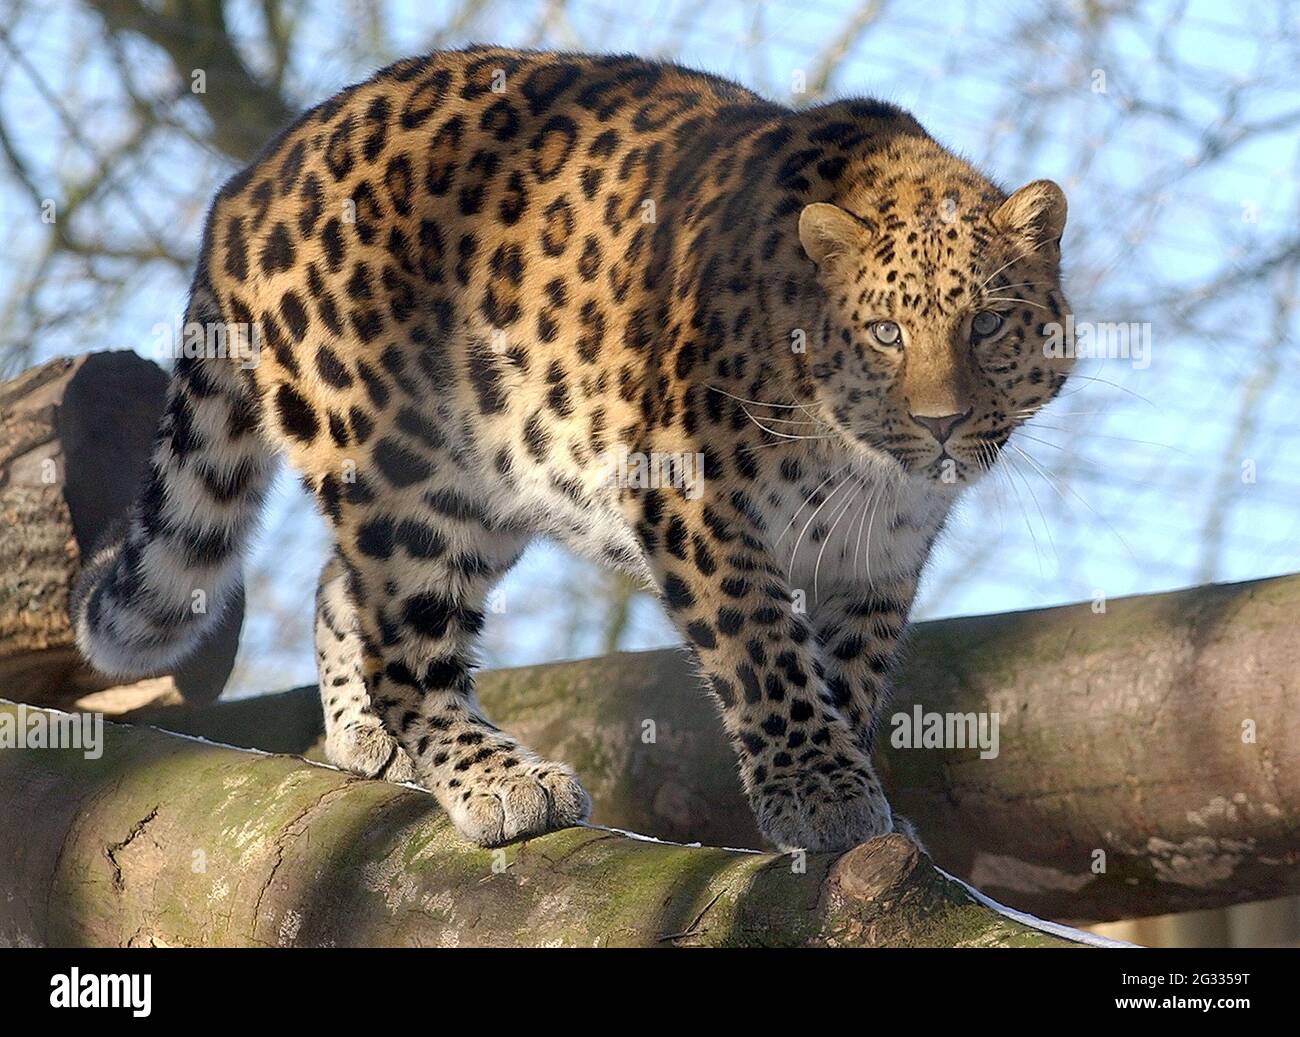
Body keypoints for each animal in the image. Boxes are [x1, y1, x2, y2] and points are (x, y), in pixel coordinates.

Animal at [68, 46, 1066, 852]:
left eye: (987, 324)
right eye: (886, 332)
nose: (940, 421)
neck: (866, 467)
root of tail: (250, 176)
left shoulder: (877, 560)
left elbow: (845, 673)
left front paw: (846, 789)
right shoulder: (689, 491)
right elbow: (763, 651)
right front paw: (819, 791)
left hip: (484, 477)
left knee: (337, 587)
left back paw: (369, 739)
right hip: (404, 468)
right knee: (406, 648)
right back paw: (499, 780)